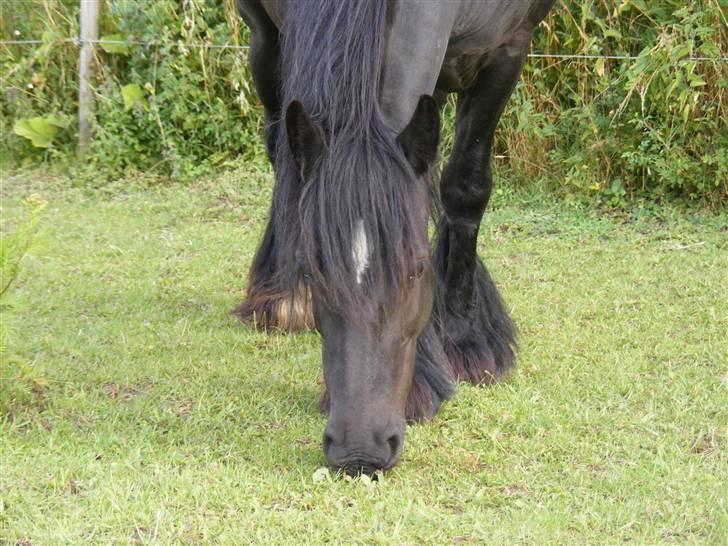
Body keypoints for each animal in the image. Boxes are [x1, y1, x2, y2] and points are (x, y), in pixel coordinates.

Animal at [236, 0, 556, 472]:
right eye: (314, 272)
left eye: (415, 270)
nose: (358, 449)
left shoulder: (507, 50)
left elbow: (465, 185)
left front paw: (465, 338)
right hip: (264, 36)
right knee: (279, 144)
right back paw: (281, 297)